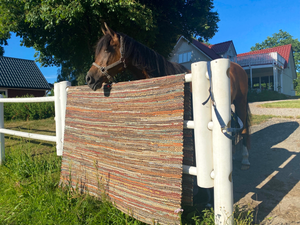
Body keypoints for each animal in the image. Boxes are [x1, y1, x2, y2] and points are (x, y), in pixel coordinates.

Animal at [85, 23, 251, 170]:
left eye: (107, 49)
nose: (89, 78)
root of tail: (237, 67)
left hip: (240, 102)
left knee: (244, 130)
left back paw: (244, 160)